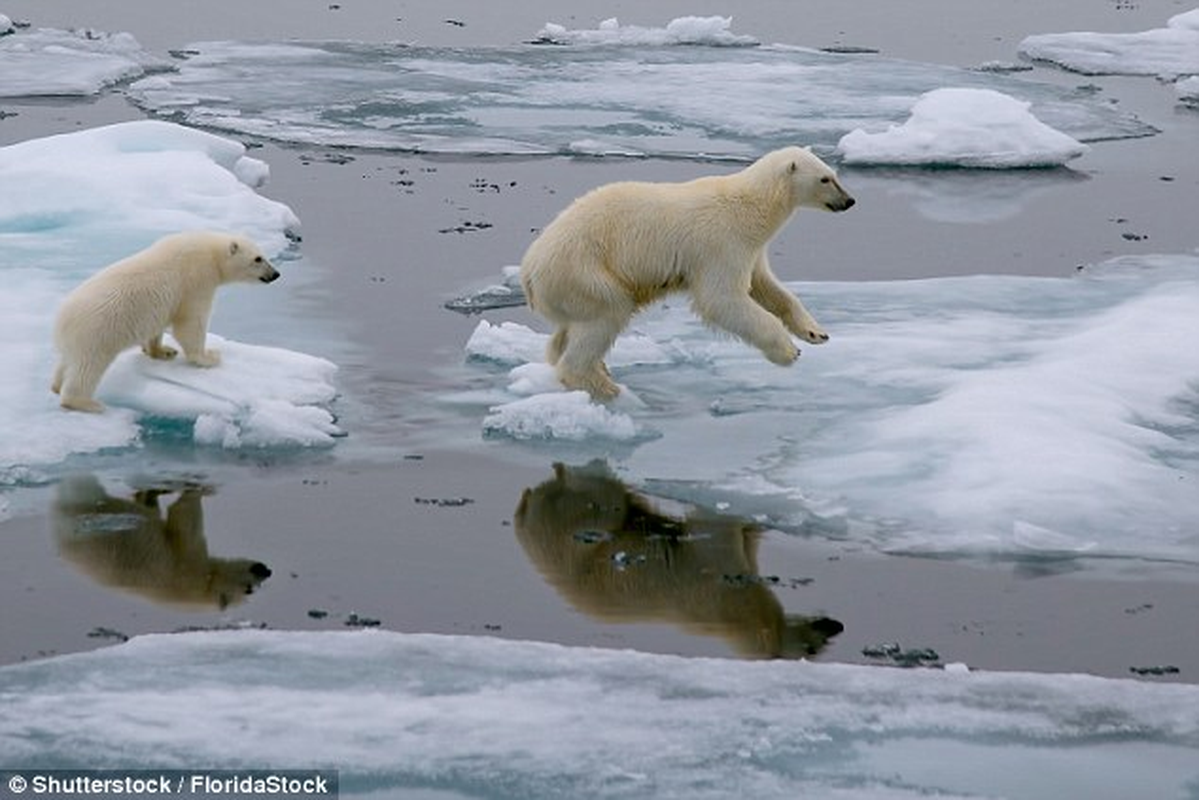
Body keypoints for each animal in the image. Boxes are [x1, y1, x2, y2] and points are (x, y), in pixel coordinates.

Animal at [50, 227, 280, 410]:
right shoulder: (197, 279)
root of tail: (60, 321)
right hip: (95, 332)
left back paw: (56, 386)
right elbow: (191, 322)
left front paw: (163, 351)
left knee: (66, 363)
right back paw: (86, 403)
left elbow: (157, 327)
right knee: (87, 368)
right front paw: (209, 356)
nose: (276, 274)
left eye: (263, 255)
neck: (210, 252)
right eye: (258, 258)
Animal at [522, 145, 853, 398]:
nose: (849, 201)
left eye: (835, 174)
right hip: (584, 272)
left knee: (568, 332)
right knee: (607, 314)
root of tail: (529, 272)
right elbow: (721, 298)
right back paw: (605, 386)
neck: (750, 207)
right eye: (825, 178)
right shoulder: (720, 242)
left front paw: (815, 332)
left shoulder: (751, 249)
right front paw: (788, 351)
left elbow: (767, 287)